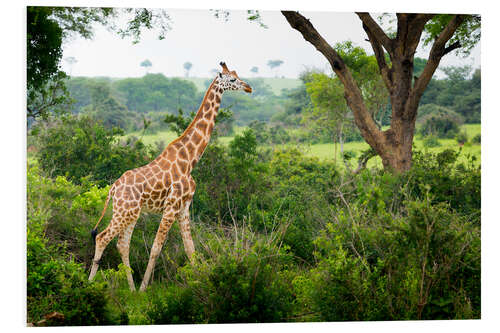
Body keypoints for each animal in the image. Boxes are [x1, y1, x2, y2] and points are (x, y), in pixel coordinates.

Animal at [88, 62, 252, 290]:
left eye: (237, 75)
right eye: (233, 79)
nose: (249, 87)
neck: (190, 160)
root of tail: (113, 188)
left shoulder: (184, 207)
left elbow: (190, 249)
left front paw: (202, 282)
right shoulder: (171, 206)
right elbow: (156, 248)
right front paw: (144, 290)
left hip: (131, 213)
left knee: (122, 244)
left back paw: (130, 289)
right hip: (124, 212)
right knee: (102, 238)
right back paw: (90, 284)